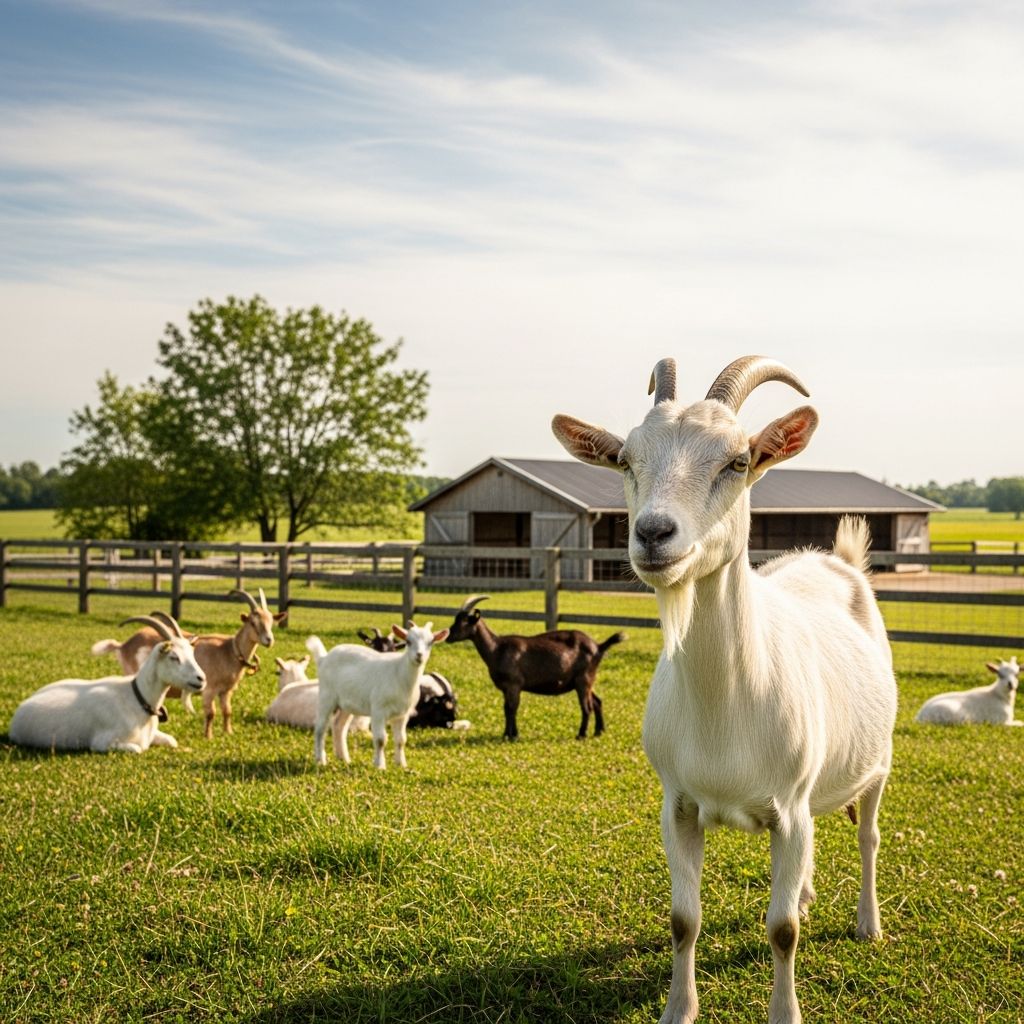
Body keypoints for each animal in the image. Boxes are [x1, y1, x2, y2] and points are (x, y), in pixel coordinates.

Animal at [9, 615, 205, 753]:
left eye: (192, 653)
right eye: (174, 657)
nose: (201, 679)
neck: (137, 698)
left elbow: (172, 741)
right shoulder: (102, 743)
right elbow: (138, 749)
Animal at [307, 622, 448, 769]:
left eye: (431, 642)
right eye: (408, 641)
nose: (419, 655)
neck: (399, 672)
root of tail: (323, 658)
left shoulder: (403, 714)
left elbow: (401, 740)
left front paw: (401, 764)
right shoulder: (378, 710)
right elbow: (381, 739)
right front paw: (380, 765)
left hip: (347, 703)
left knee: (338, 726)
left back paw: (344, 758)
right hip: (326, 696)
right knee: (320, 727)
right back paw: (320, 760)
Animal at [444, 595, 624, 741]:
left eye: (464, 621)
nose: (447, 636)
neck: (497, 649)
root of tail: (598, 647)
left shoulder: (514, 685)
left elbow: (512, 708)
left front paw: (511, 736)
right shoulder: (505, 688)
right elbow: (506, 709)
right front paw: (508, 734)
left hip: (583, 680)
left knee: (587, 707)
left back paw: (581, 735)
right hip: (587, 680)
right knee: (597, 702)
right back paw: (599, 732)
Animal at [553, 355, 897, 1024]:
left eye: (737, 461)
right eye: (625, 460)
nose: (653, 533)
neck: (725, 709)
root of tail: (836, 559)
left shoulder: (789, 807)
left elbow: (782, 930)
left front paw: (785, 1013)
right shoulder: (679, 805)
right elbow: (683, 920)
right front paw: (677, 1010)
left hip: (878, 762)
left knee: (868, 837)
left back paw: (868, 923)